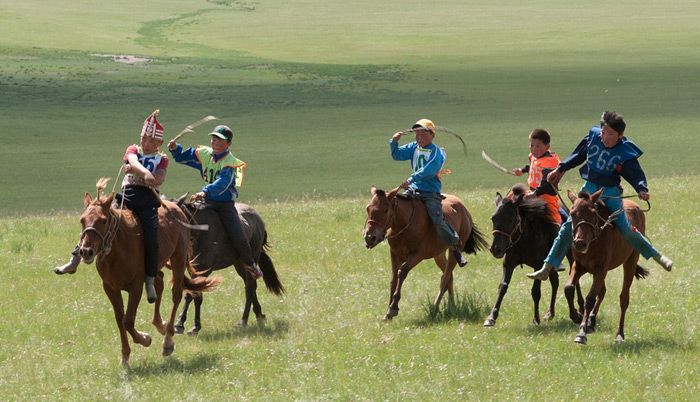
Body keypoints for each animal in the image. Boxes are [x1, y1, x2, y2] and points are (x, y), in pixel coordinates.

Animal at [77, 177, 220, 366]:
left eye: (103, 220)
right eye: (82, 220)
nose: (86, 251)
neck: (118, 251)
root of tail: (176, 208)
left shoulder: (135, 287)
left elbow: (128, 321)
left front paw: (145, 339)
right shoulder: (110, 288)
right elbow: (119, 319)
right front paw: (125, 355)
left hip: (178, 259)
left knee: (176, 294)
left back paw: (168, 340)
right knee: (158, 282)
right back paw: (160, 325)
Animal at [172, 196, 284, 334]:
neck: (199, 231)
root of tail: (258, 219)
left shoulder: (204, 270)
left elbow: (194, 294)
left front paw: (191, 326)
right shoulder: (193, 270)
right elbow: (192, 294)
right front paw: (182, 324)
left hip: (251, 259)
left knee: (250, 288)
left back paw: (243, 321)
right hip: (239, 264)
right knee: (252, 286)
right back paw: (259, 315)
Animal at [364, 185, 490, 320]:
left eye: (386, 210)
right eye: (368, 208)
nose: (370, 237)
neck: (406, 224)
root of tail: (465, 210)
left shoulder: (417, 255)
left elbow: (401, 272)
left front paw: (393, 307)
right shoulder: (395, 254)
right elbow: (394, 278)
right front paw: (388, 312)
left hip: (455, 250)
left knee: (445, 277)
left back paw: (435, 307)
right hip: (438, 255)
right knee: (448, 276)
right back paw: (452, 306)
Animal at [486, 184, 580, 328]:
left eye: (511, 219)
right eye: (493, 218)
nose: (496, 249)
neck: (524, 237)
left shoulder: (538, 265)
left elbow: (536, 292)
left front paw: (536, 319)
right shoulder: (509, 263)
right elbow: (502, 287)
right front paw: (492, 317)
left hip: (569, 255)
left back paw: (581, 307)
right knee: (555, 281)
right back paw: (550, 313)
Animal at [564, 189, 652, 346]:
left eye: (593, 213)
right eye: (572, 213)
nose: (580, 243)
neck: (593, 240)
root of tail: (636, 207)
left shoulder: (601, 268)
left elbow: (590, 299)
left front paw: (581, 332)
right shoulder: (579, 266)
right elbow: (569, 288)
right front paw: (577, 316)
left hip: (630, 261)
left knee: (624, 298)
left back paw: (619, 334)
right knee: (602, 292)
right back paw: (591, 321)